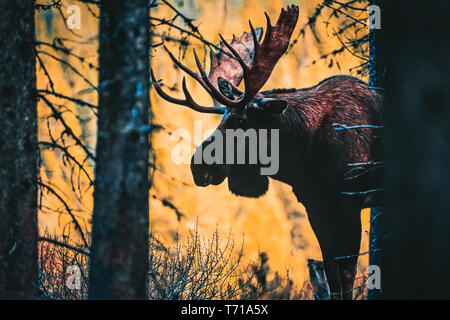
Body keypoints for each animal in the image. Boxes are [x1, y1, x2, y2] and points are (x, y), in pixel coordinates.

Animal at [152, 5, 384, 300]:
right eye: (221, 118)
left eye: (240, 122)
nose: (198, 166)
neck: (301, 158)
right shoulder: (316, 205)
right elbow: (332, 277)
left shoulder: (348, 202)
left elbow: (345, 278)